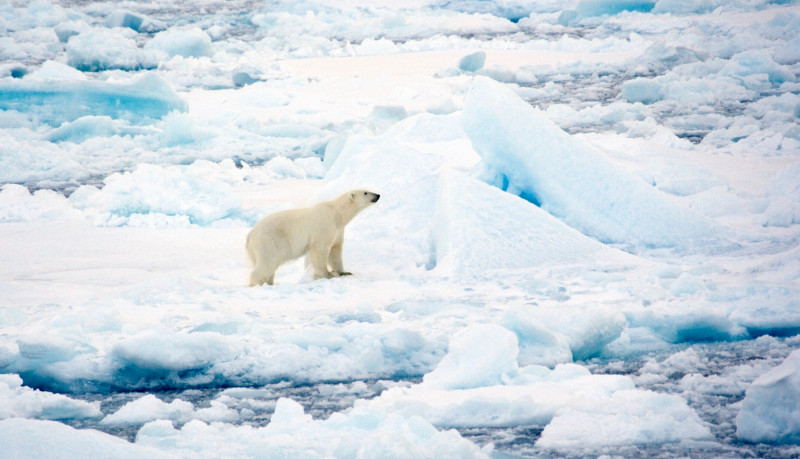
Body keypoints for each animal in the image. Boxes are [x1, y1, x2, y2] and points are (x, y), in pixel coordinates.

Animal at [245, 190, 380, 284]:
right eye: (365, 192)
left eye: (368, 189)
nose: (378, 195)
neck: (336, 213)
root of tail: (250, 236)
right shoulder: (324, 225)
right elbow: (320, 249)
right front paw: (327, 274)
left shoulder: (338, 229)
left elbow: (335, 250)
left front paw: (344, 272)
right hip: (269, 242)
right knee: (267, 262)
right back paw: (257, 283)